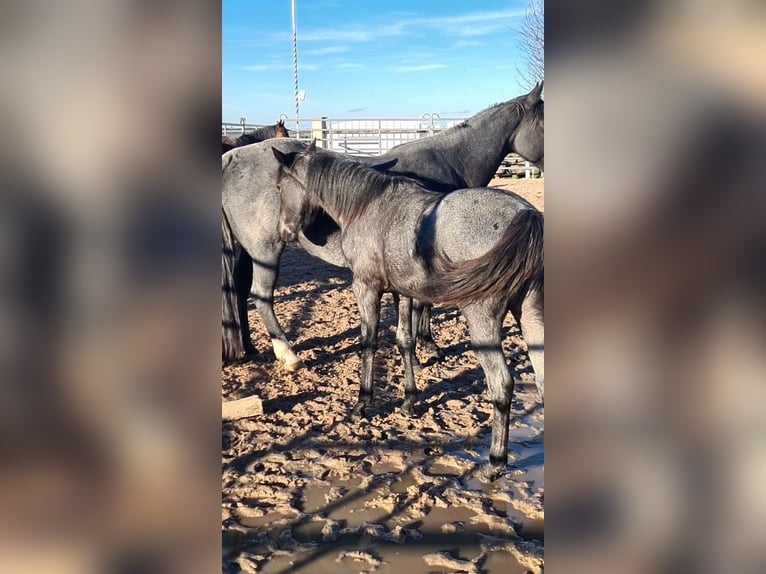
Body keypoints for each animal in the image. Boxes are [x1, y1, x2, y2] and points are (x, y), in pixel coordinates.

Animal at [222, 82, 544, 368]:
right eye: (543, 123)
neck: (450, 161)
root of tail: (232, 157)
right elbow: (422, 305)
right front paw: (426, 345)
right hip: (265, 251)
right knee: (261, 296)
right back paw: (288, 355)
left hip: (250, 251)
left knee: (240, 289)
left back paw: (249, 347)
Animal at [272, 143, 544, 482]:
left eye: (280, 187)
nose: (283, 233)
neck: (368, 206)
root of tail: (526, 213)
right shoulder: (402, 292)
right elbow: (404, 340)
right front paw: (410, 399)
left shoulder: (366, 287)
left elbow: (369, 342)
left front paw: (363, 402)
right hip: (531, 314)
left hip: (483, 320)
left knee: (501, 384)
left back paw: (494, 462)